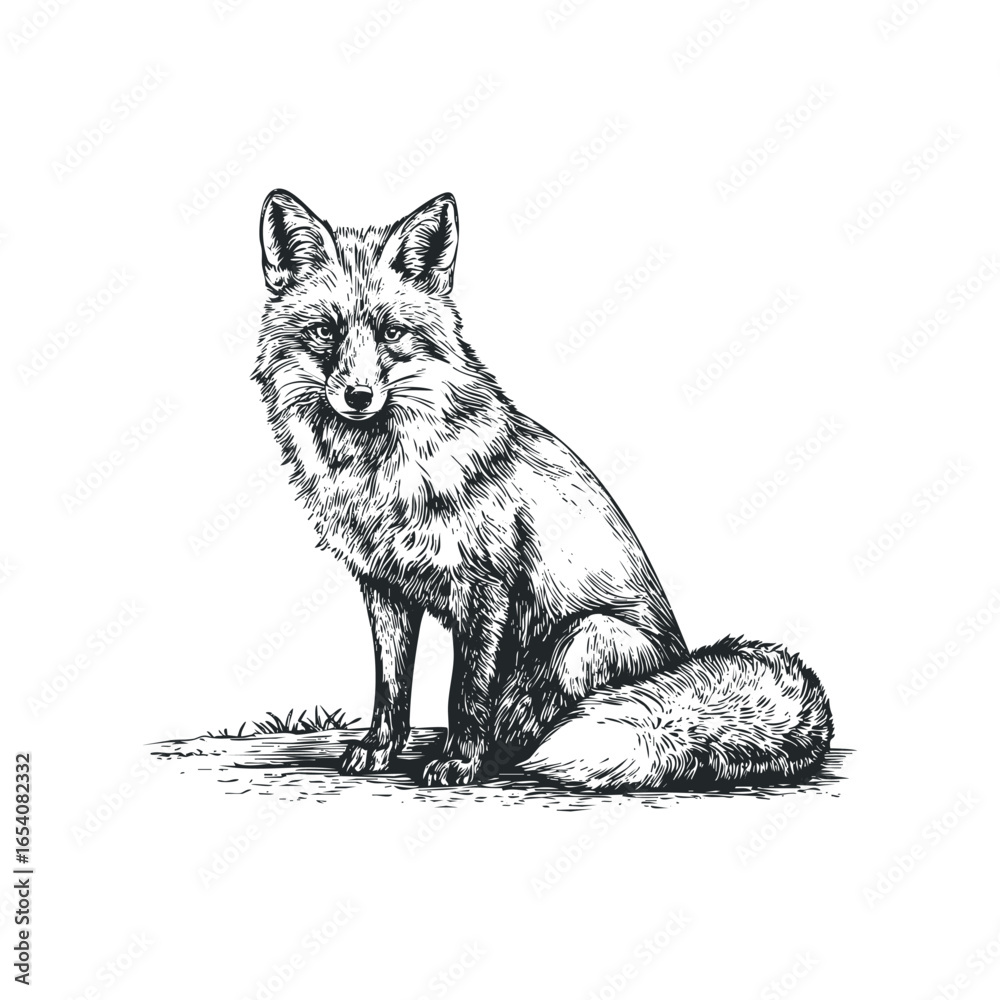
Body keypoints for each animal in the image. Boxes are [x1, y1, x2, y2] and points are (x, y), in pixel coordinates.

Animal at [253, 188, 833, 792]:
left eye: (391, 333)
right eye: (326, 331)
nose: (359, 396)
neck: (382, 475)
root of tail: (680, 657)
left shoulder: (486, 590)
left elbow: (465, 694)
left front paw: (462, 761)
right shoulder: (384, 588)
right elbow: (392, 689)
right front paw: (380, 749)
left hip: (579, 641)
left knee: (535, 717)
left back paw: (503, 751)